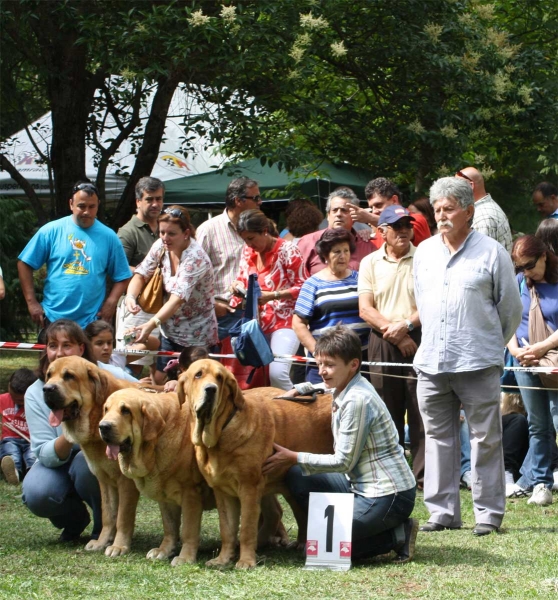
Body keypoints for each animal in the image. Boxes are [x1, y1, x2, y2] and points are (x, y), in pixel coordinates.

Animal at [44, 356, 143, 556]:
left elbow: (123, 517)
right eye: (48, 375)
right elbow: (108, 515)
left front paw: (119, 546)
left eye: (69, 376)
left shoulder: (126, 482)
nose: (47, 389)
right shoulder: (105, 480)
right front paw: (101, 542)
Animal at [182, 358, 334, 568]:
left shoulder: (249, 487)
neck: (221, 432)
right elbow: (227, 529)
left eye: (220, 378)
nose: (211, 389)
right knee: (299, 513)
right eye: (198, 375)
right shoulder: (222, 491)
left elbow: (246, 528)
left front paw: (246, 561)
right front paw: (223, 559)